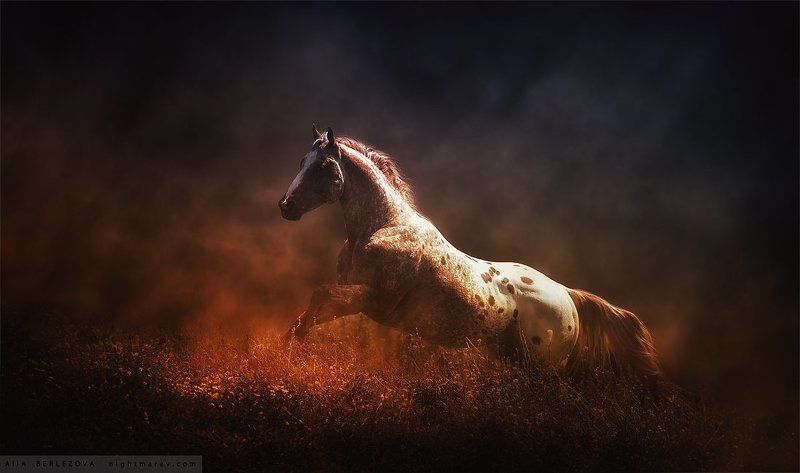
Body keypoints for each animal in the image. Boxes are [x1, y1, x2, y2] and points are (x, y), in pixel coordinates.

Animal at [278, 125, 661, 379]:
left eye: (323, 166)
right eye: (301, 161)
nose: (287, 206)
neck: (383, 227)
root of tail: (568, 295)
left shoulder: (372, 298)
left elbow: (320, 296)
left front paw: (290, 353)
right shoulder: (356, 298)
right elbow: (313, 308)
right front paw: (285, 347)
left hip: (541, 367)